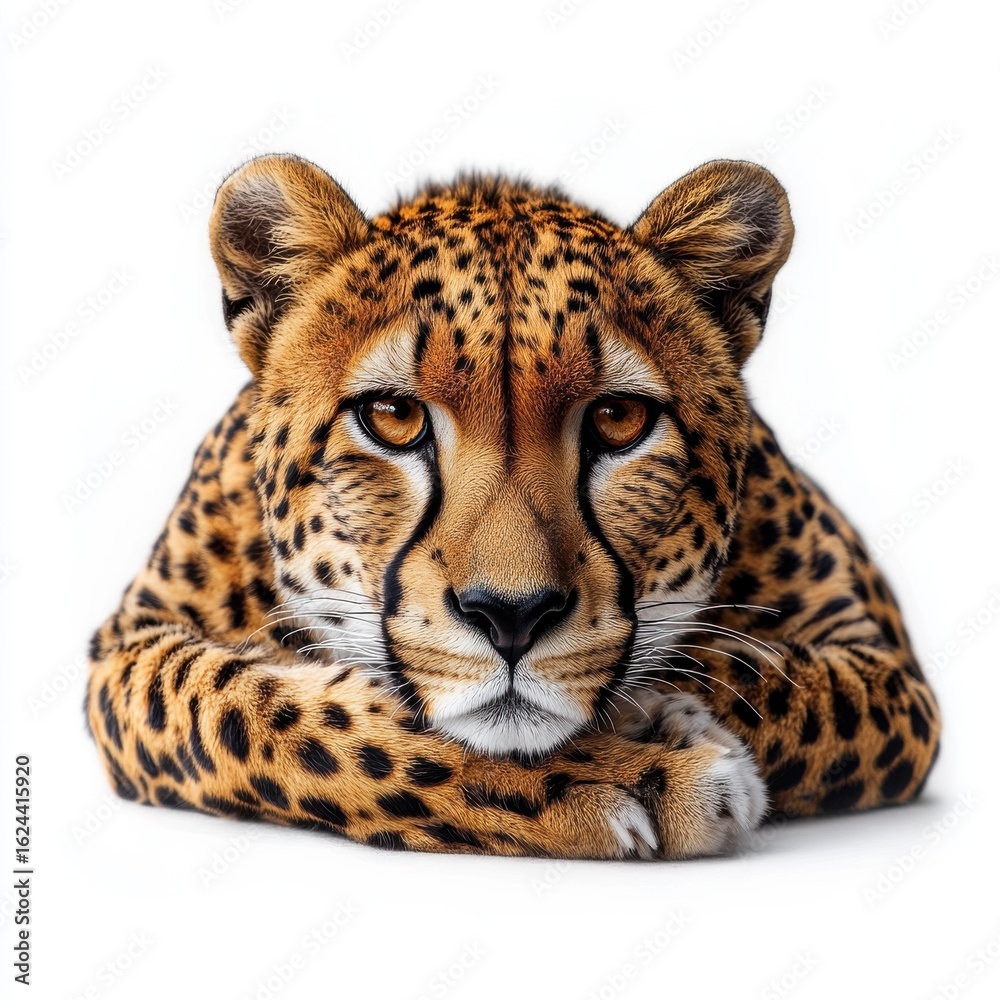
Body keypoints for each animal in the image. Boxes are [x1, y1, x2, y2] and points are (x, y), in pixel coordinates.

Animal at [85, 154, 941, 859]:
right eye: (392, 416)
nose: (511, 616)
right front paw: (638, 762)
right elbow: (256, 713)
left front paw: (648, 718)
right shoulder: (127, 649)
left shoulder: (888, 666)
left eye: (617, 419)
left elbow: (758, 675)